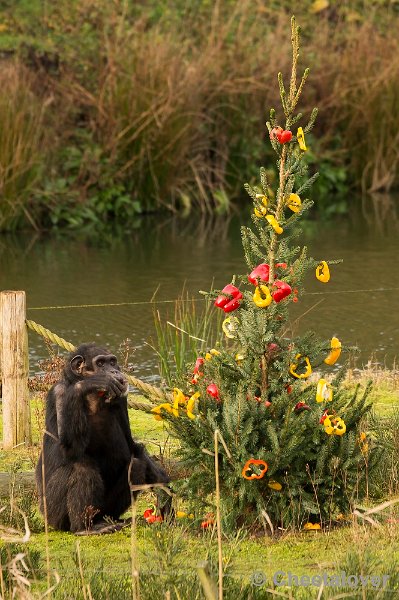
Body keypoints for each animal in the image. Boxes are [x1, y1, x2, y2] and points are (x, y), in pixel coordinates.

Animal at [35, 344, 170, 532]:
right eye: (100, 363)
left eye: (112, 362)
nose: (114, 371)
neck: (94, 398)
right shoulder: (59, 394)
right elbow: (68, 450)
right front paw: (87, 384)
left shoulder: (121, 401)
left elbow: (132, 447)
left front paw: (164, 490)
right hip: (53, 514)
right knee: (82, 467)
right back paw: (84, 529)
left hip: (103, 509)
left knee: (136, 466)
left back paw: (111, 520)